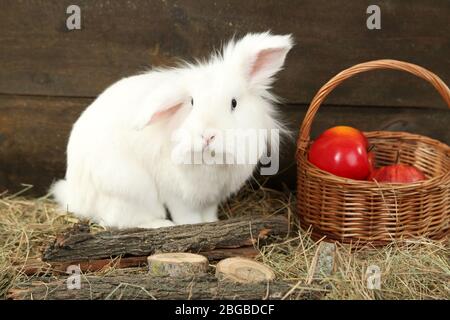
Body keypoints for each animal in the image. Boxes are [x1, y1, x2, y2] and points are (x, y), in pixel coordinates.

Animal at [51, 31, 294, 229]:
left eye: (234, 103)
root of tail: (77, 197)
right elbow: (187, 216)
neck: (210, 162)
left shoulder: (212, 196)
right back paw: (161, 225)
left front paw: (212, 224)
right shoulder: (177, 195)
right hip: (130, 190)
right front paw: (192, 227)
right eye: (192, 102)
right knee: (118, 220)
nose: (207, 135)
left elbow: (209, 213)